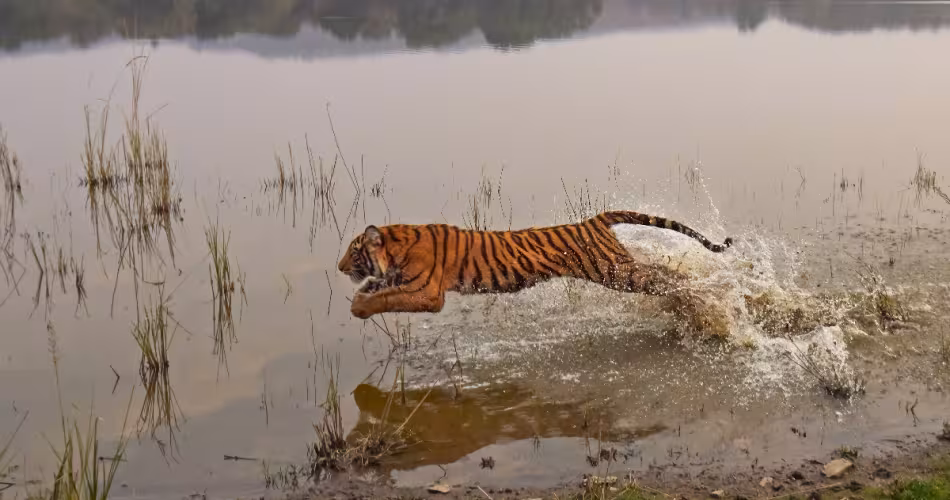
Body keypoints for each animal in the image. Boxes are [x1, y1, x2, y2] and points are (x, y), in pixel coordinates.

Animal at [338, 210, 732, 319]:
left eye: (354, 252)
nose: (339, 268)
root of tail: (595, 220)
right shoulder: (403, 279)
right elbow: (380, 288)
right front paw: (360, 298)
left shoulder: (427, 292)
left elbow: (388, 298)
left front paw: (359, 308)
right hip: (619, 268)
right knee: (665, 273)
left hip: (615, 271)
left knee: (665, 277)